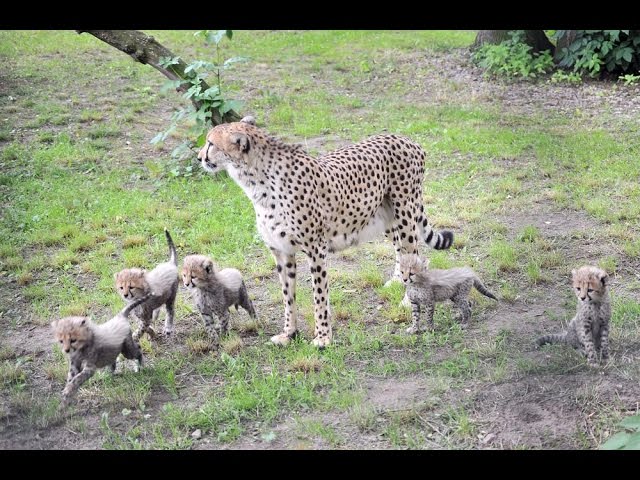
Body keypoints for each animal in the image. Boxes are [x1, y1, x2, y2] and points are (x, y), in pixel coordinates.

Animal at [198, 117, 452, 346]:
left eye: (211, 143)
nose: (200, 157)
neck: (257, 182)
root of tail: (405, 138)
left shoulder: (316, 249)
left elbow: (319, 297)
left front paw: (322, 338)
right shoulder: (281, 252)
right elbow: (287, 297)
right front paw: (289, 333)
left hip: (405, 213)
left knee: (413, 251)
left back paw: (408, 299)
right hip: (385, 217)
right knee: (401, 249)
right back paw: (398, 281)